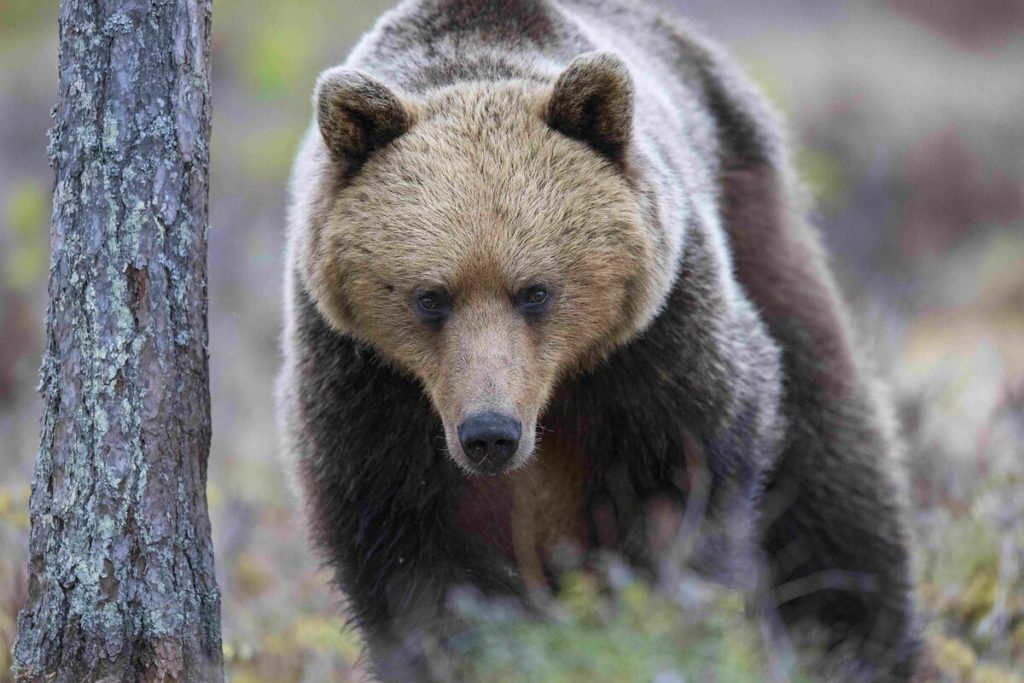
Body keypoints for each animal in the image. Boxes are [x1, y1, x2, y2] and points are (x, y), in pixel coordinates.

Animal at [276, 0, 925, 679]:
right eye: (430, 297)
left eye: (535, 291)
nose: (490, 433)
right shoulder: (368, 388)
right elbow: (411, 565)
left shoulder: (658, 349)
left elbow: (684, 498)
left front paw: (658, 629)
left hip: (756, 217)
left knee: (831, 458)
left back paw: (860, 643)